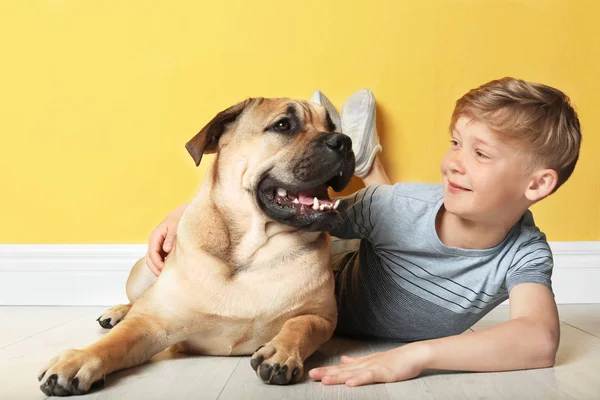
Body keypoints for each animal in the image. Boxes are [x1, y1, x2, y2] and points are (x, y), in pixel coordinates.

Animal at [37, 96, 354, 394]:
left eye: (332, 126)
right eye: (283, 125)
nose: (343, 141)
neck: (252, 252)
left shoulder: (320, 316)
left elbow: (300, 325)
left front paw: (281, 353)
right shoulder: (155, 322)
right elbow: (118, 341)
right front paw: (78, 360)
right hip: (142, 273)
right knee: (135, 302)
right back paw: (116, 312)